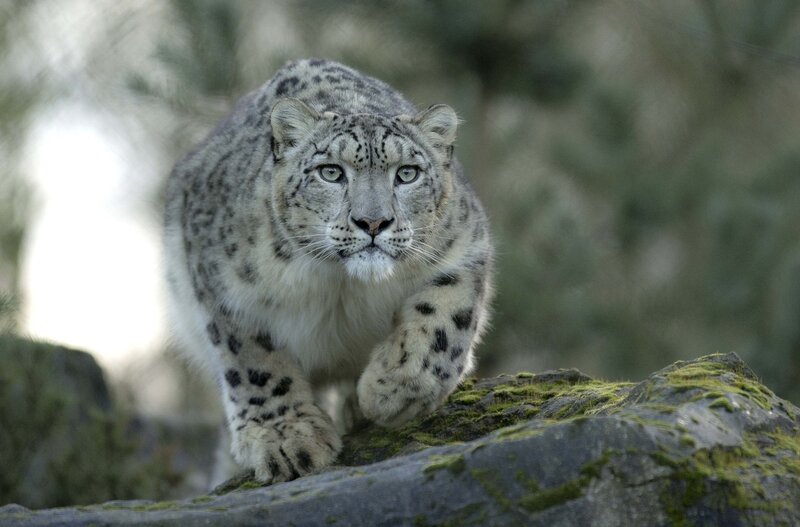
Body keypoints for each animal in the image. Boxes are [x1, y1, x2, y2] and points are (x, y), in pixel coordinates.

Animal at [163, 58, 494, 485]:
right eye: (331, 172)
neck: (342, 285)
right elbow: (253, 362)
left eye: (407, 173)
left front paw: (391, 390)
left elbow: (443, 321)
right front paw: (287, 440)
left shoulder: (465, 248)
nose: (373, 222)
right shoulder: (223, 288)